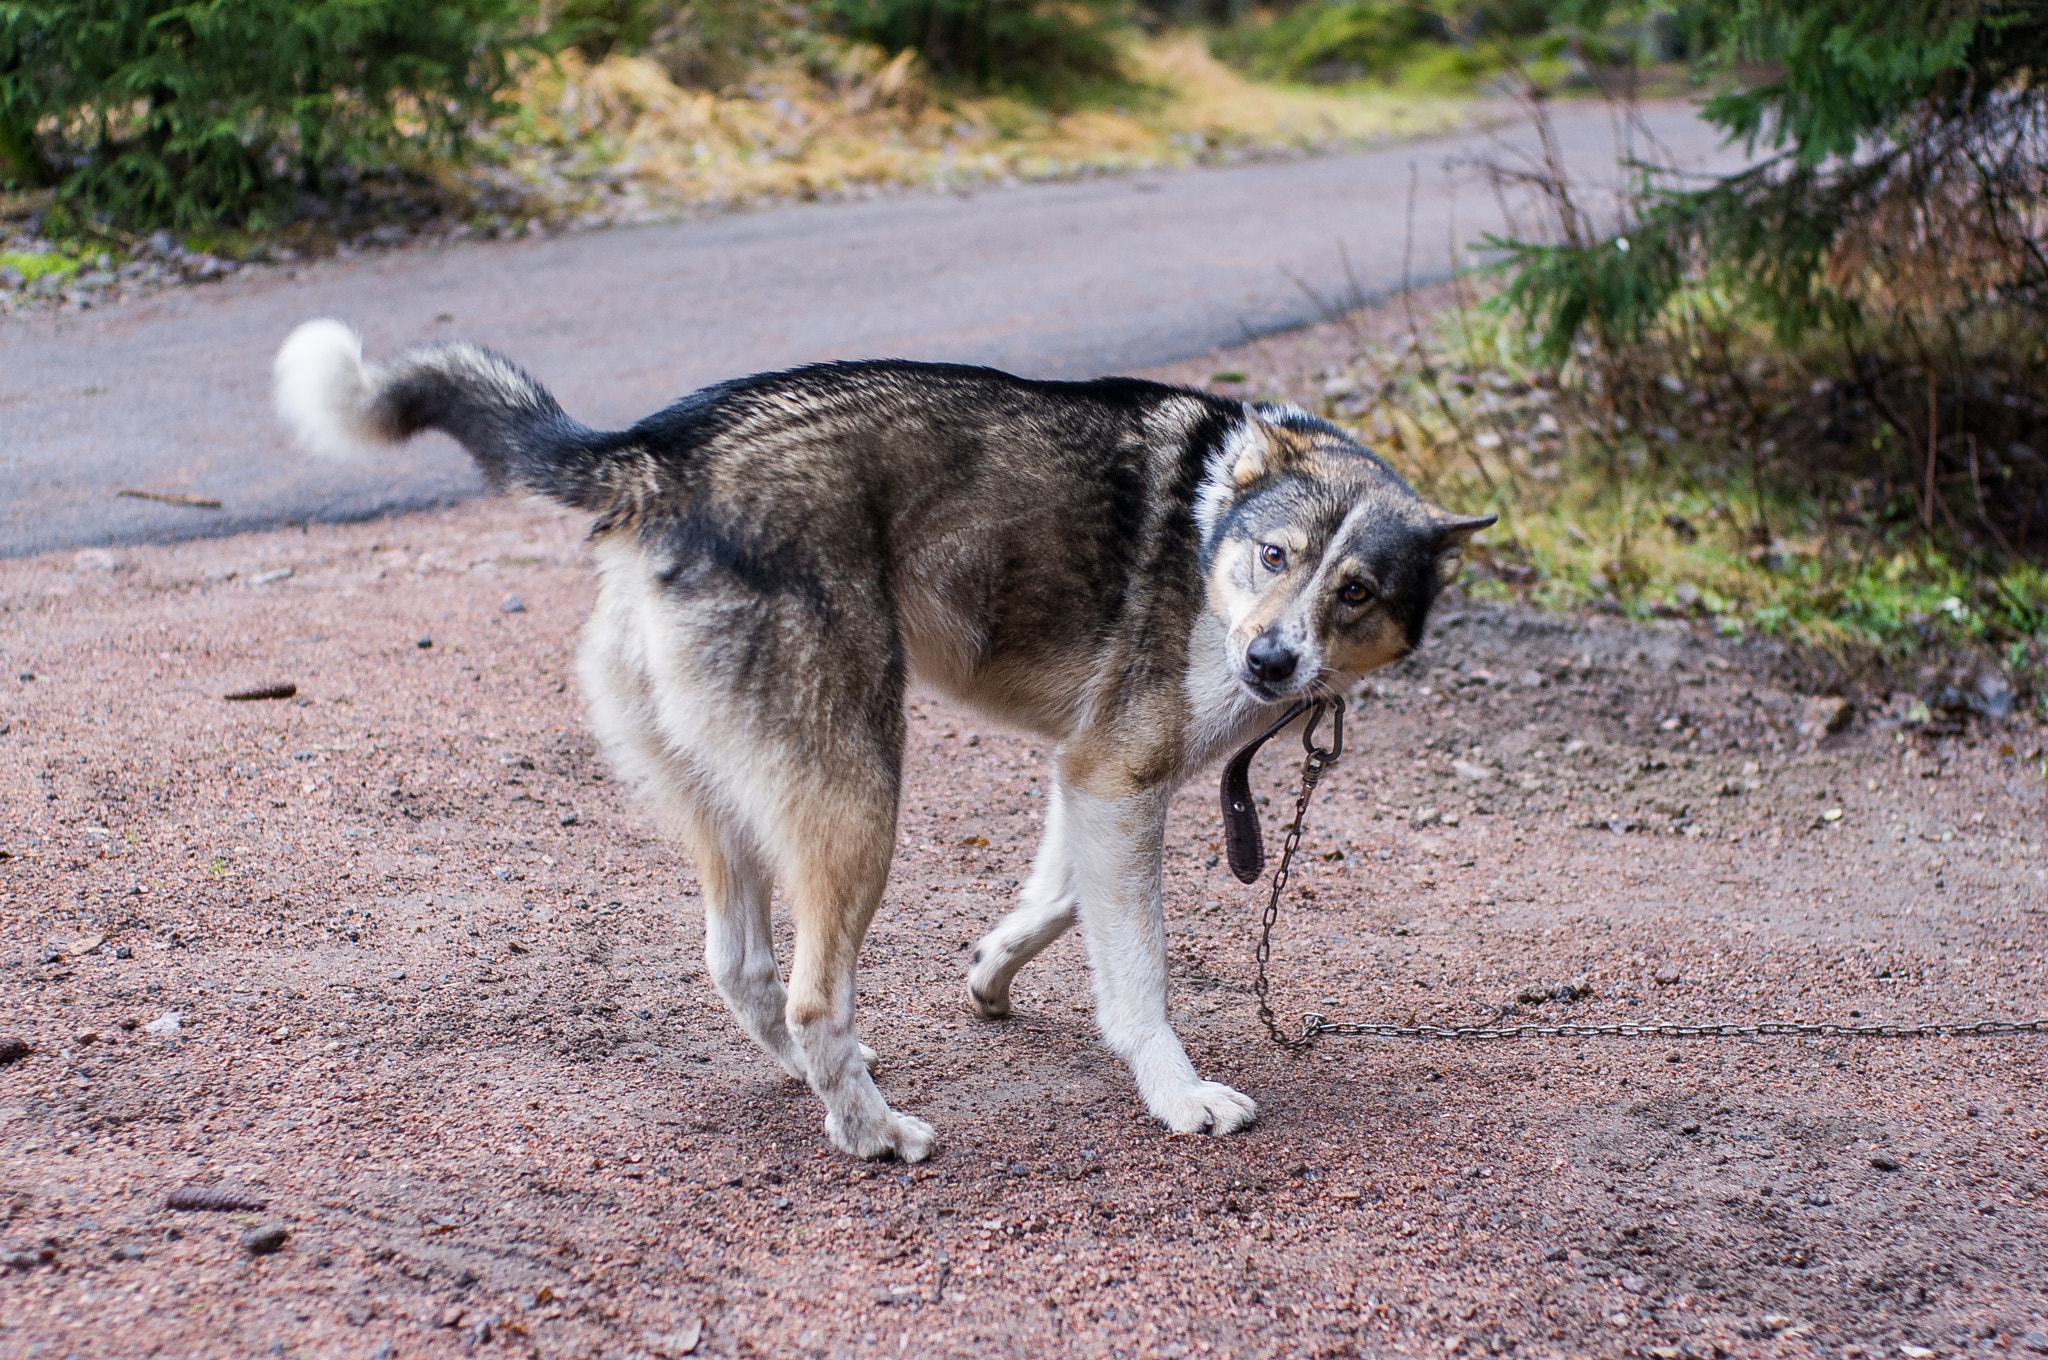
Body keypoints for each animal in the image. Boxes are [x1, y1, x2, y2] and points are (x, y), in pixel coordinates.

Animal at [272, 323, 1490, 1163]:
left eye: (1356, 590)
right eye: (1274, 557)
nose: (1270, 665)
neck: (1211, 523)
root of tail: (666, 452)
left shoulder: (1091, 779)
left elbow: (1058, 906)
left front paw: (992, 972)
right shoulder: (1117, 777)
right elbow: (1136, 971)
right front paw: (1175, 1091)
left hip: (731, 797)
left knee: (745, 971)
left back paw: (830, 1078)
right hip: (861, 796)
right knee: (812, 991)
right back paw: (870, 1131)